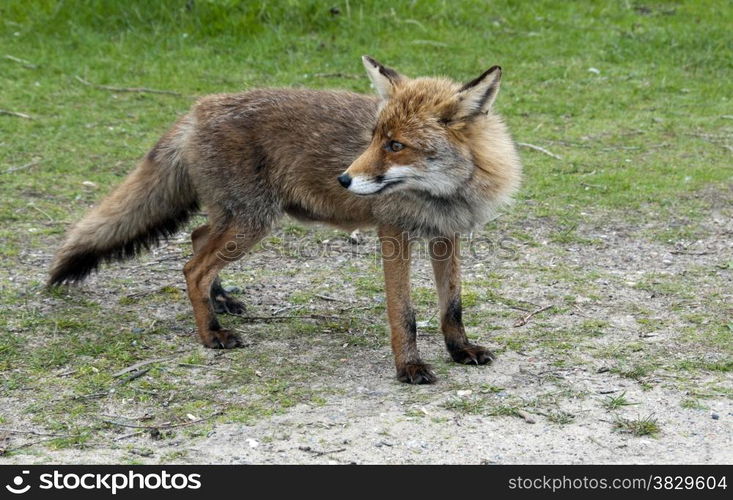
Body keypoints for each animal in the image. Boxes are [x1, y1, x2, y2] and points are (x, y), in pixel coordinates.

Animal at [48, 56, 520, 384]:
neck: (444, 195)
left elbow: (451, 306)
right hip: (253, 222)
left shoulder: (447, 236)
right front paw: (409, 368)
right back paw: (212, 335)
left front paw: (460, 350)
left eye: (396, 145)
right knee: (192, 267)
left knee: (198, 239)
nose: (344, 178)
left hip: (236, 218)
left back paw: (222, 301)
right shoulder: (393, 235)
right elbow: (403, 315)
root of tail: (200, 107)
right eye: (373, 139)